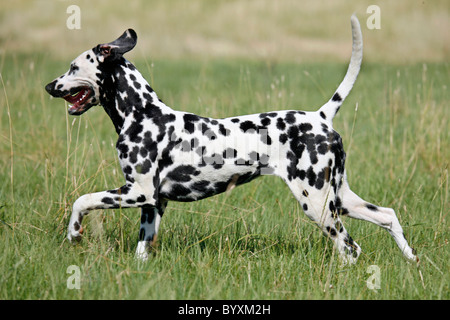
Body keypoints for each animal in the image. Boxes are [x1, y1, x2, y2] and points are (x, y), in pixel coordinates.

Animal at [46, 15, 418, 264]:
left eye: (72, 66)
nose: (49, 86)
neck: (144, 114)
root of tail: (320, 116)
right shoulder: (154, 204)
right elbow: (142, 251)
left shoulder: (137, 192)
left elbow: (81, 201)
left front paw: (74, 232)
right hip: (339, 199)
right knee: (388, 217)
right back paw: (413, 261)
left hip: (317, 204)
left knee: (350, 248)